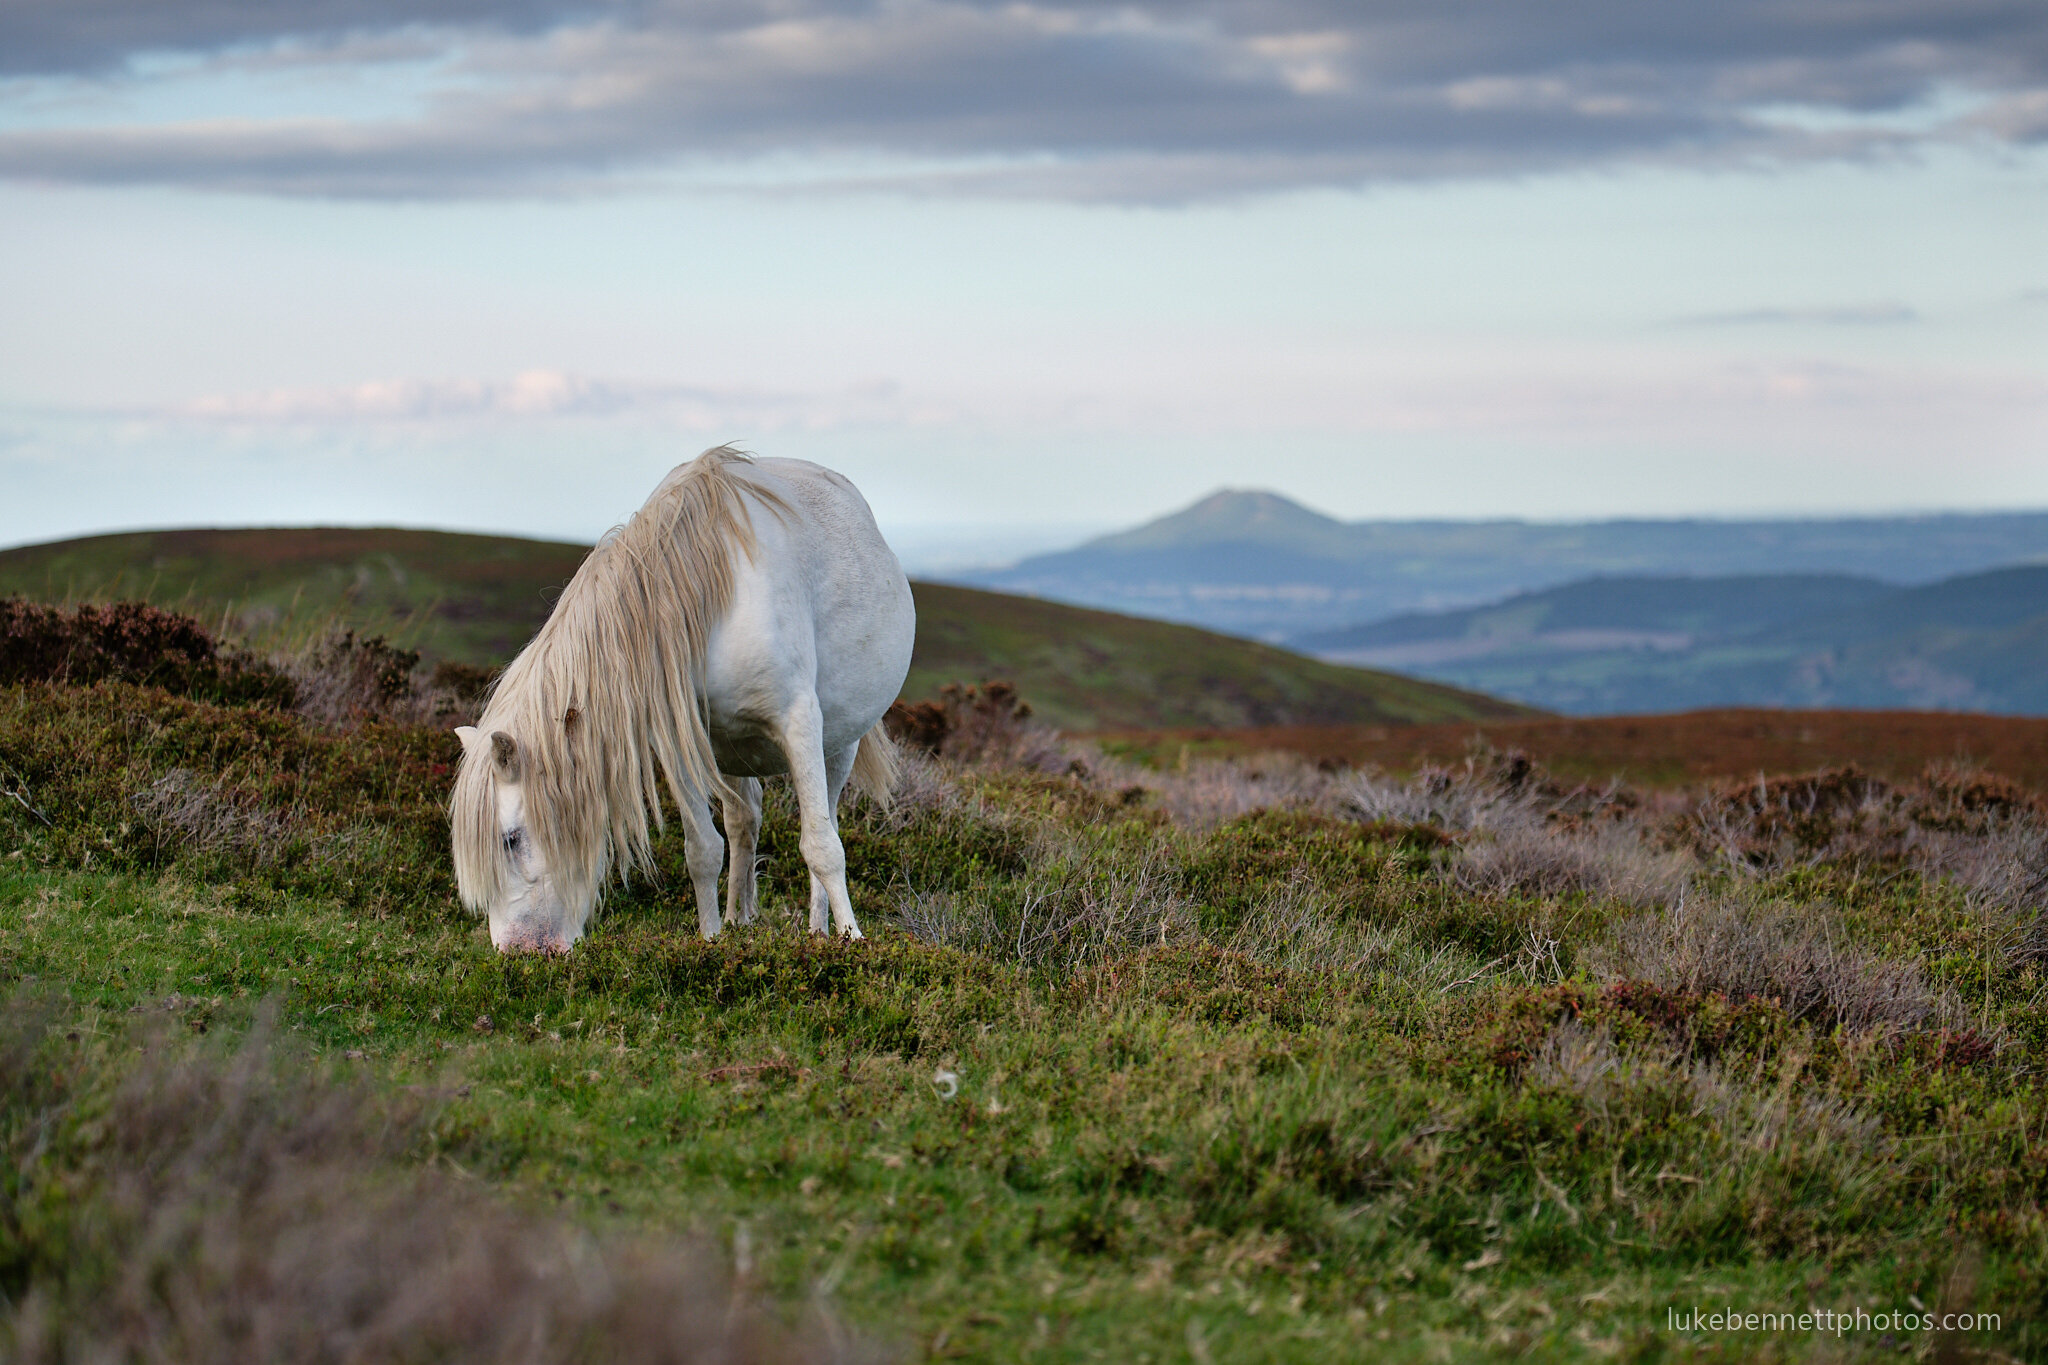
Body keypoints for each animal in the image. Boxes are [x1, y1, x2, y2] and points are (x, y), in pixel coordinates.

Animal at [460, 448, 917, 949]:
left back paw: (821, 932)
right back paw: (739, 919)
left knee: (825, 821)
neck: (710, 599)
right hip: (732, 750)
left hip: (838, 744)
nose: (515, 951)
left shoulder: (798, 723)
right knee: (743, 822)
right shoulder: (681, 744)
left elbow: (822, 846)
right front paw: (711, 942)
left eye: (511, 839)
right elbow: (703, 850)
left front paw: (854, 943)